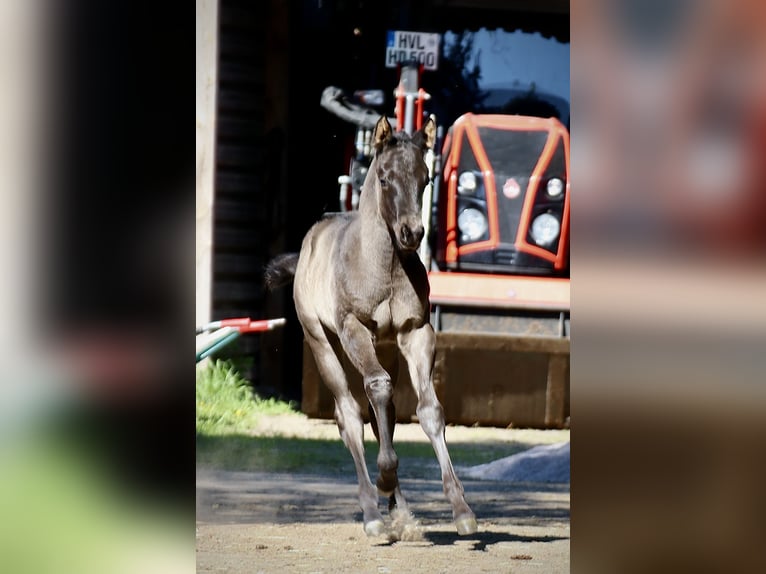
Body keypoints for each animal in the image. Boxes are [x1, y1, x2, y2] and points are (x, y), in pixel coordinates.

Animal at [268, 115, 476, 536]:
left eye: (426, 177)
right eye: (383, 178)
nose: (412, 233)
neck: (385, 266)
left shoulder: (415, 332)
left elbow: (429, 410)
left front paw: (461, 508)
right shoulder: (353, 327)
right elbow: (374, 391)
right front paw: (384, 479)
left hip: (383, 348)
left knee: (386, 411)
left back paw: (399, 508)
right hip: (323, 341)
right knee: (349, 413)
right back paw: (372, 511)